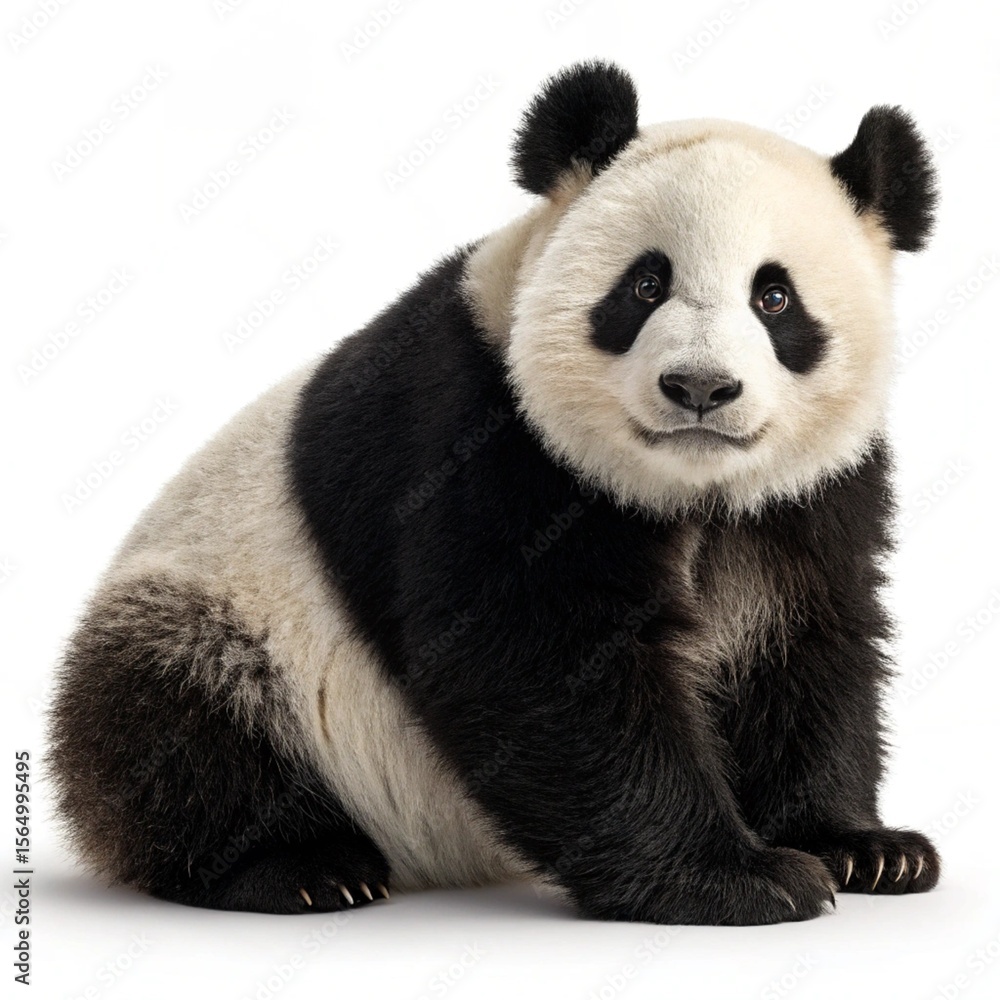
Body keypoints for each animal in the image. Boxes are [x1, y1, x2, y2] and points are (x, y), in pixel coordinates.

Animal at [47, 60, 941, 925]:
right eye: (645, 286)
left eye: (774, 297)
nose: (699, 387)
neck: (688, 489)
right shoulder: (479, 436)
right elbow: (539, 668)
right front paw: (734, 879)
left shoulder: (812, 496)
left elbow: (807, 649)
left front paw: (862, 849)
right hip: (222, 613)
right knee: (177, 727)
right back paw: (301, 868)